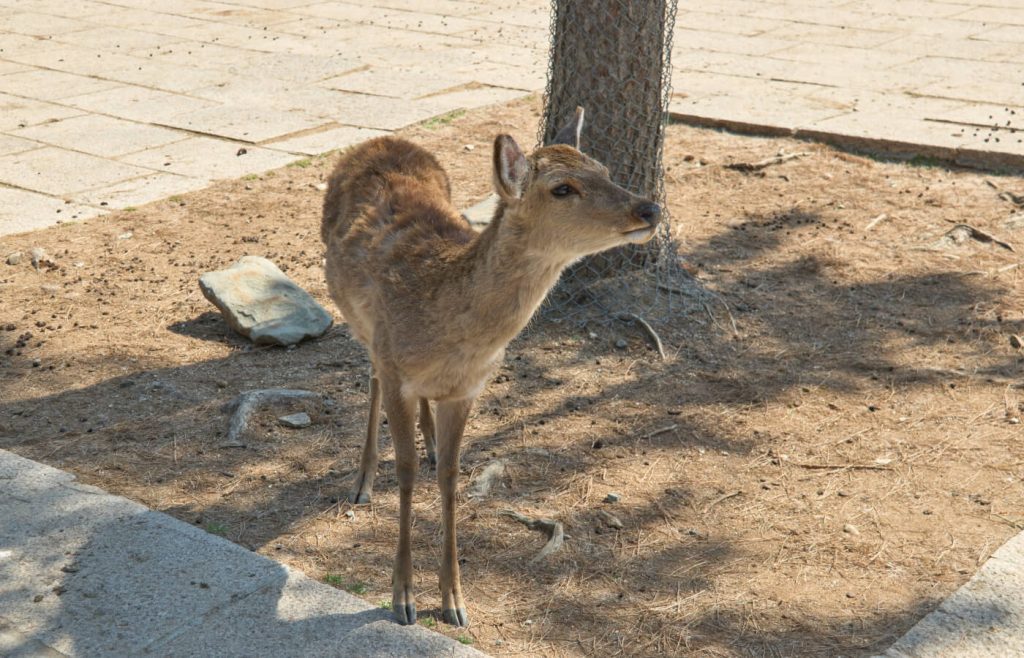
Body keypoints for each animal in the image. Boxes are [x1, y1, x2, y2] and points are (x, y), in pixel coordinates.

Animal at [320, 107, 661, 627]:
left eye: (604, 169)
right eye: (562, 188)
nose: (648, 209)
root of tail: (380, 140)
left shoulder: (470, 388)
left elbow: (451, 476)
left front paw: (454, 600)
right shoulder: (396, 364)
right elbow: (406, 473)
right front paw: (404, 598)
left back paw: (429, 441)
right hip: (356, 318)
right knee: (372, 376)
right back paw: (362, 481)